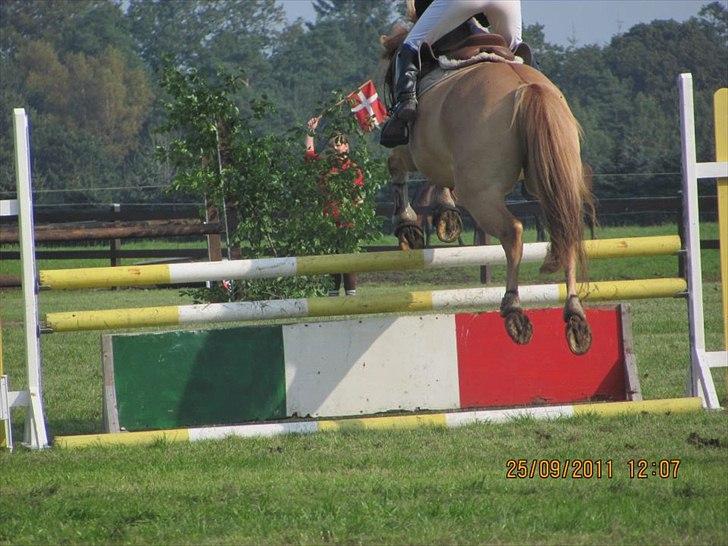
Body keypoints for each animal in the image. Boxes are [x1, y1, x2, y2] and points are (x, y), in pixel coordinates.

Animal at [384, 24, 596, 352]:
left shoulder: (418, 152)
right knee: (567, 229)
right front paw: (446, 218)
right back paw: (575, 316)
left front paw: (408, 226)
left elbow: (397, 165)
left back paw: (514, 310)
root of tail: (527, 88)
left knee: (513, 232)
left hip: (480, 194)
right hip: (554, 178)